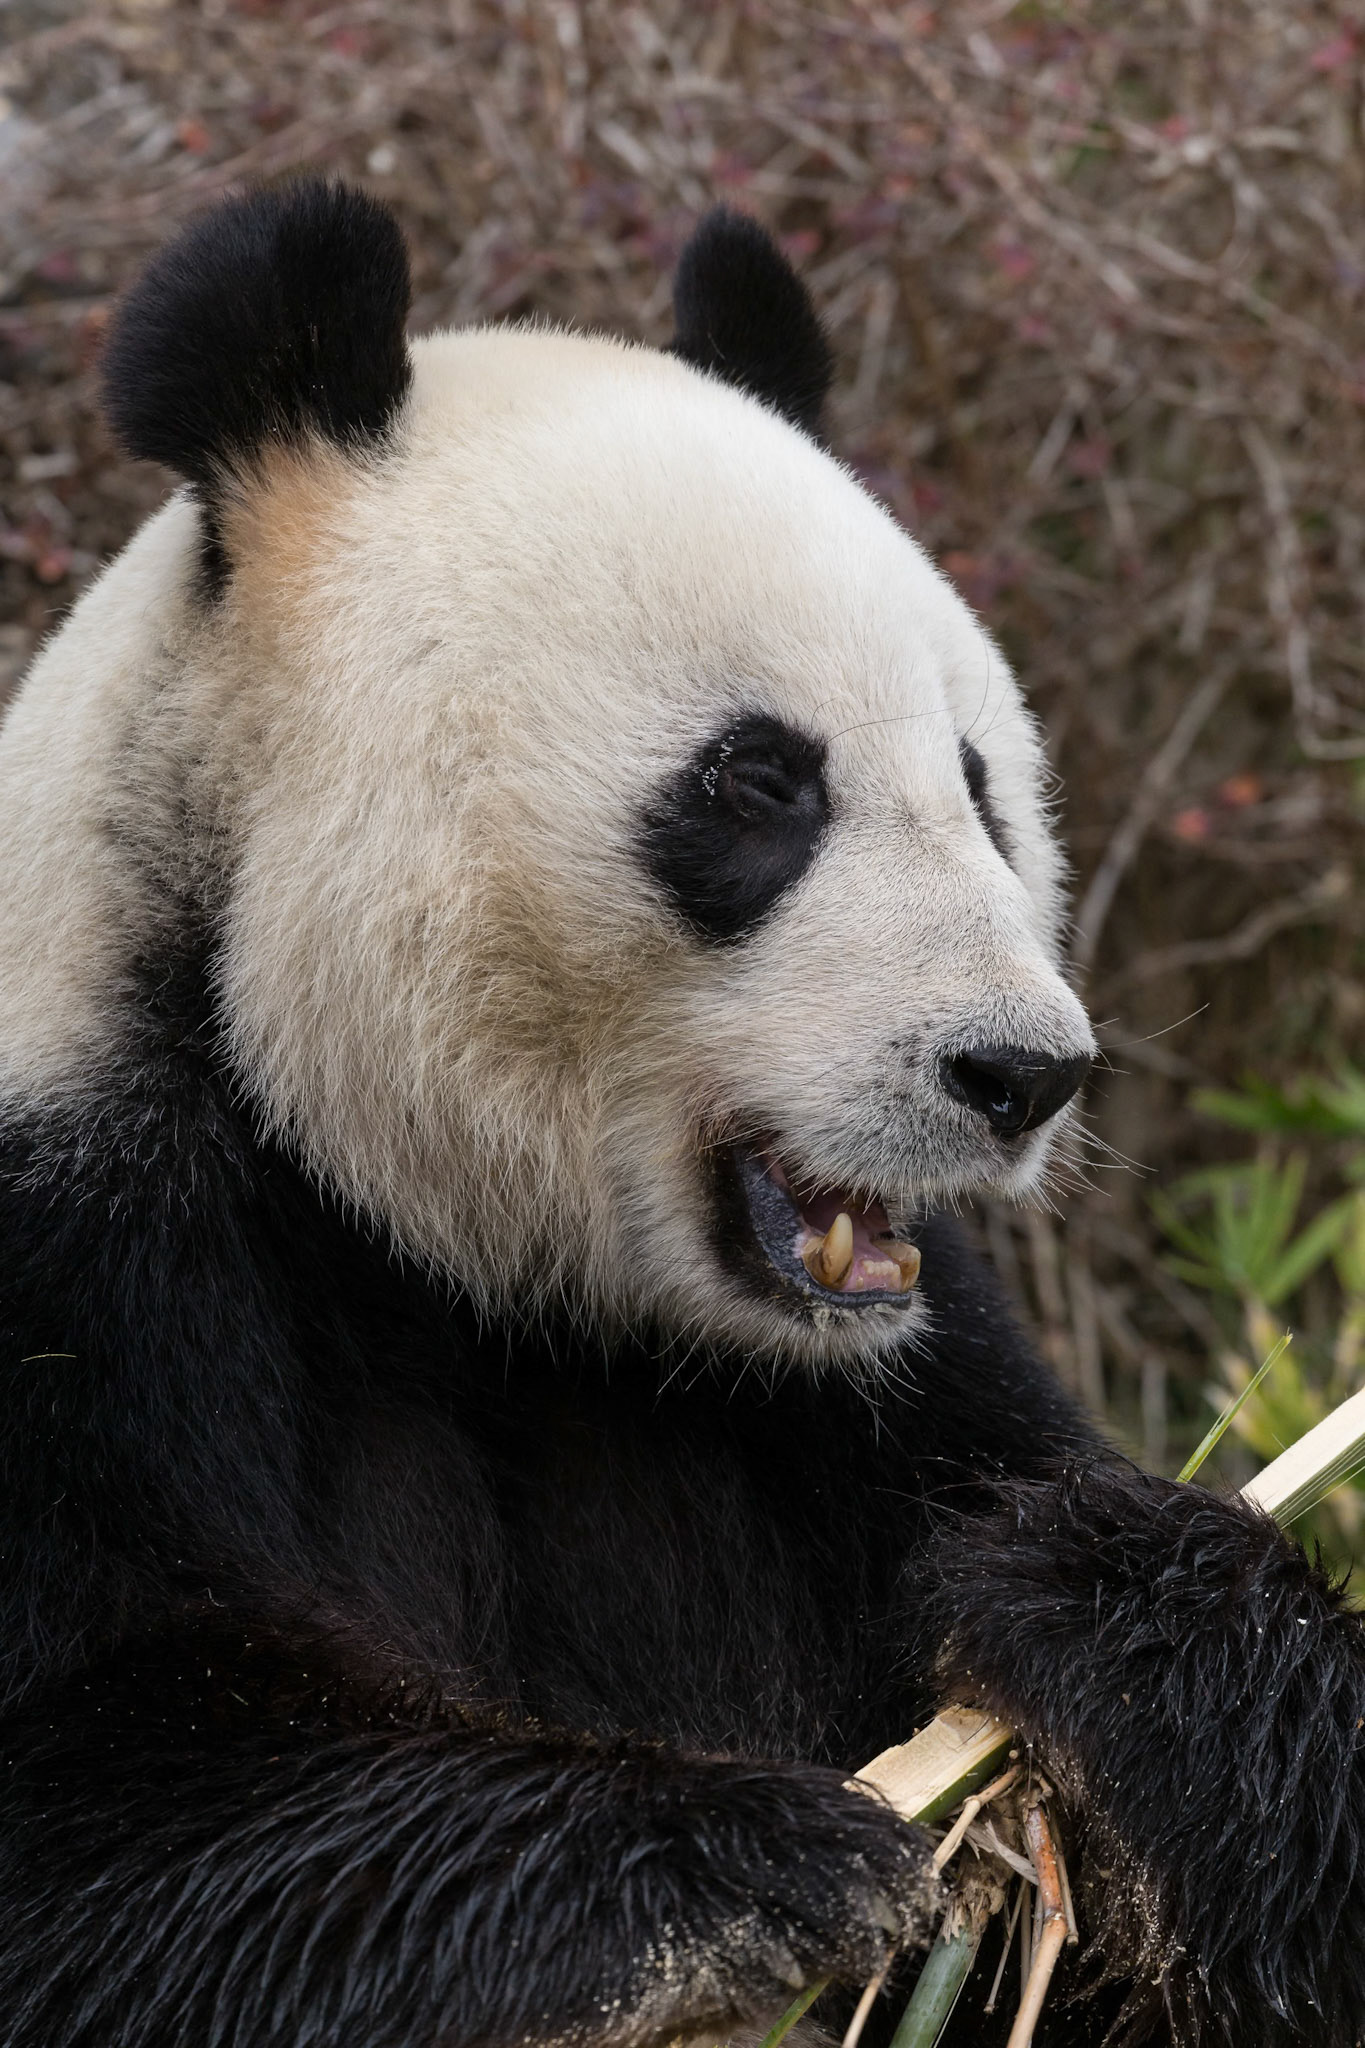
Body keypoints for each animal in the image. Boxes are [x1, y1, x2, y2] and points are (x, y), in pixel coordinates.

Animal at [0, 179, 1362, 2048]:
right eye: (757, 782)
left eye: (981, 783)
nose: (1023, 1073)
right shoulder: (84, 1244)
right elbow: (101, 1809)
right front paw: (740, 1865)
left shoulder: (887, 1399)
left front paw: (1109, 1611)